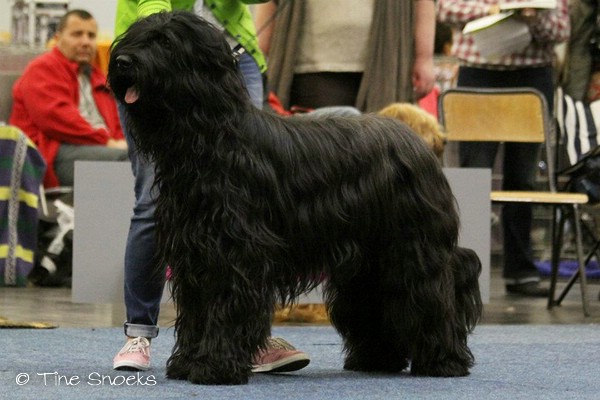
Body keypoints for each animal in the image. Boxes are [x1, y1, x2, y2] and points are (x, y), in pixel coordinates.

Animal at [108, 10, 482, 384]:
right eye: (136, 35)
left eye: (165, 41)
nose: (122, 61)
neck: (211, 138)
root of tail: (417, 140)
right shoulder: (195, 253)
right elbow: (198, 311)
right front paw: (188, 362)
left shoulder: (234, 252)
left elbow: (225, 306)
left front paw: (213, 365)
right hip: (368, 260)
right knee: (372, 301)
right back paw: (377, 359)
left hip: (410, 249)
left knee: (430, 298)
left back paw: (443, 361)